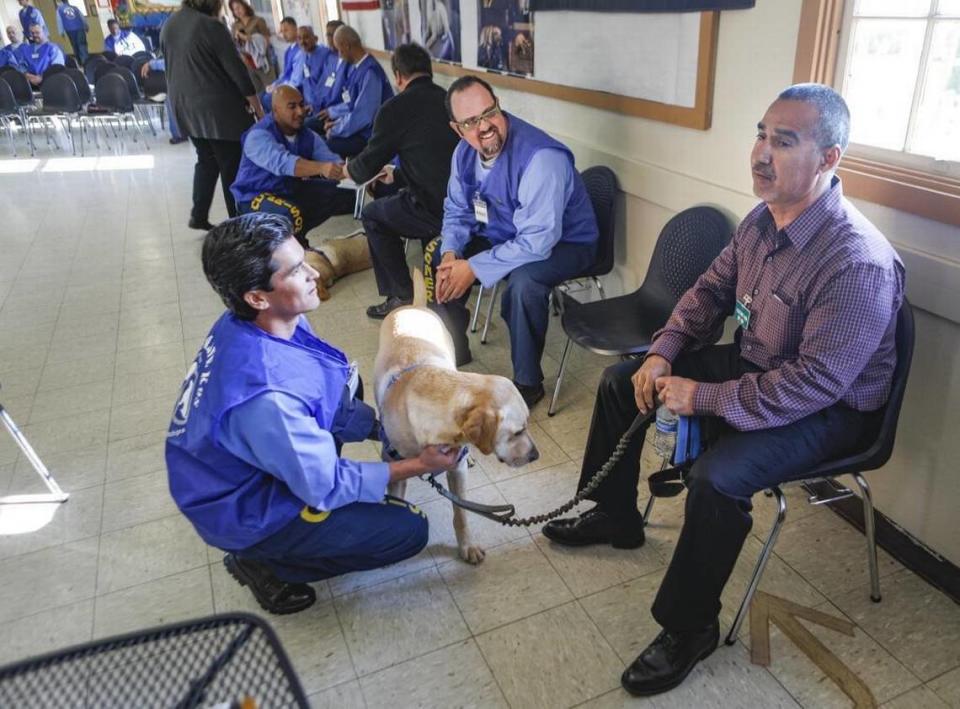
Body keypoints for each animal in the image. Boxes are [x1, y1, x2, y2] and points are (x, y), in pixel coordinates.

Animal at [376, 268, 540, 560]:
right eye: (518, 431)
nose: (535, 455)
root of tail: (415, 306)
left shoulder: (457, 469)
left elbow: (461, 512)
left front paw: (467, 546)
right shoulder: (395, 467)